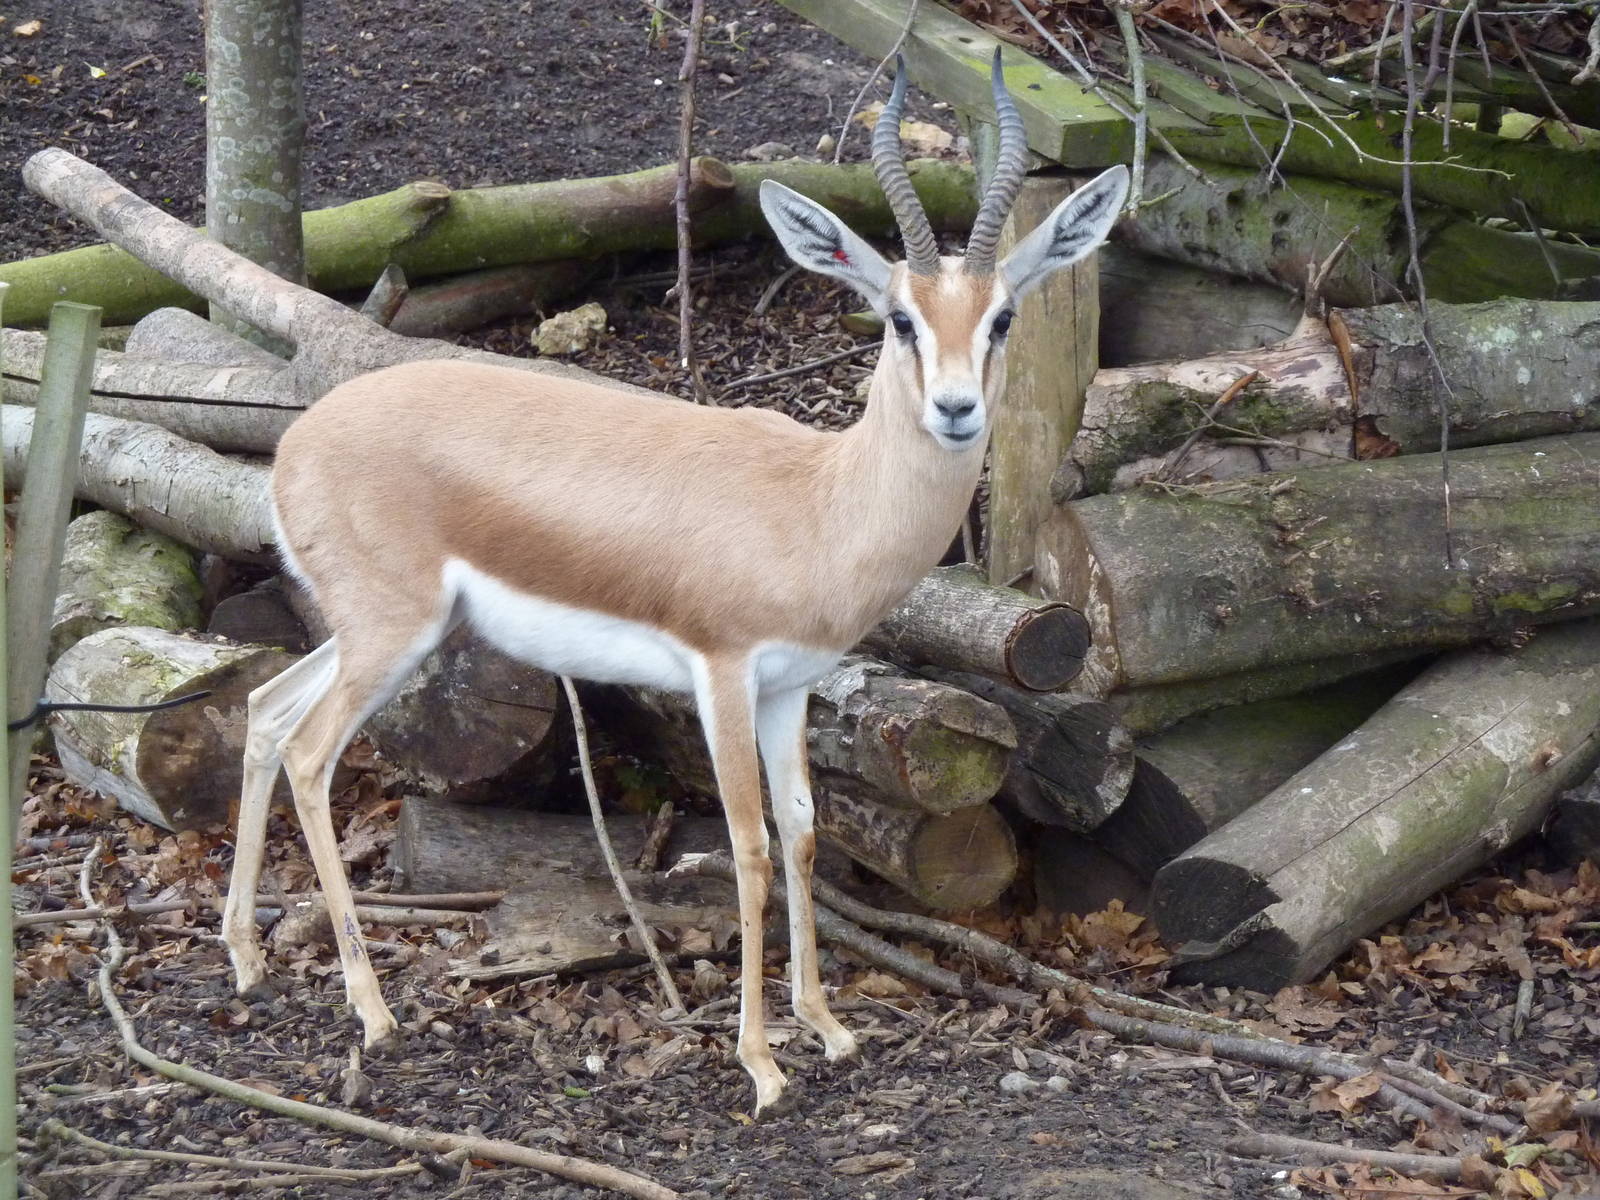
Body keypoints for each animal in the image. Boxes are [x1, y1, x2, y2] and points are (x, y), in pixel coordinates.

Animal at [219, 54, 1127, 1114]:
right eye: (901, 317)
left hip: (386, 632)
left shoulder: (792, 687)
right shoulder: (722, 672)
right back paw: (372, 1012)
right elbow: (747, 841)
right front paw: (762, 1063)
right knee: (310, 754)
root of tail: (295, 447)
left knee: (266, 710)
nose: (955, 410)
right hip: (389, 635)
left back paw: (246, 959)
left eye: (1002, 317)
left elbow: (804, 831)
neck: (819, 504)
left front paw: (827, 1027)